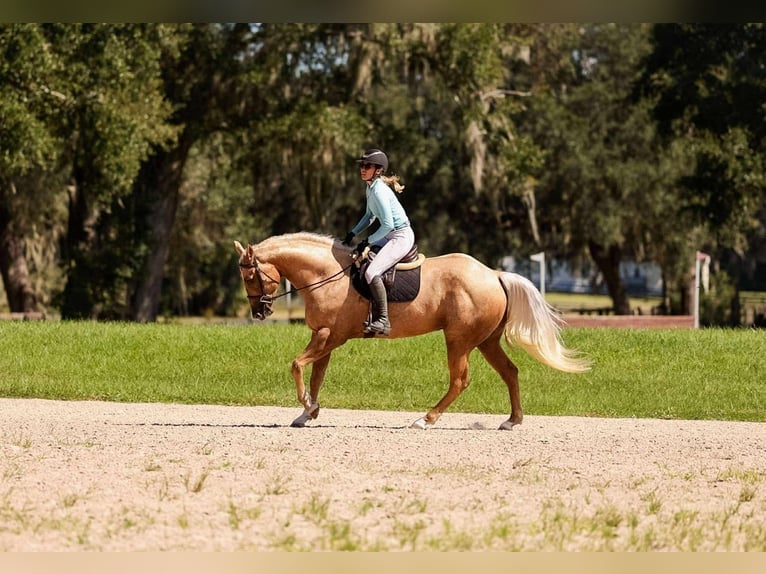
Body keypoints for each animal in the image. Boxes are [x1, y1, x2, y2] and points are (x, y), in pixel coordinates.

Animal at [234, 232, 590, 430]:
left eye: (250, 277)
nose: (260, 312)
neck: (326, 274)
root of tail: (493, 274)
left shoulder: (328, 336)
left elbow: (297, 366)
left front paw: (307, 408)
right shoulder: (325, 338)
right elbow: (316, 376)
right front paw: (308, 413)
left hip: (458, 340)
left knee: (460, 380)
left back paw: (426, 419)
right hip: (486, 341)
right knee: (510, 372)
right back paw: (512, 421)